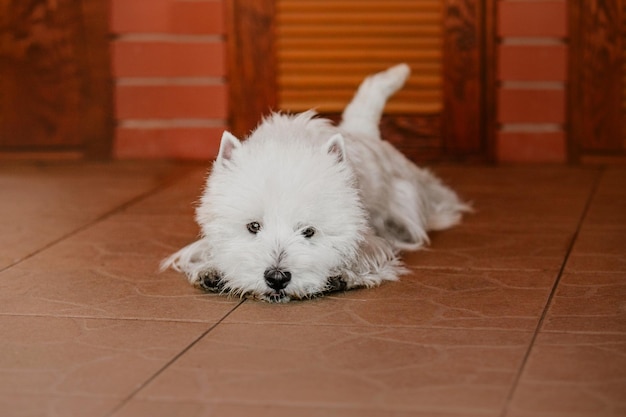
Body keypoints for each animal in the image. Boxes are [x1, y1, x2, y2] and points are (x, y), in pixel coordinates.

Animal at [161, 63, 468, 300]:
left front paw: (343, 274)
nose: (277, 278)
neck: (288, 143)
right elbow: (205, 251)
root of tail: (361, 130)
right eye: (253, 226)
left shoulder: (373, 241)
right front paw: (211, 270)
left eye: (308, 231)